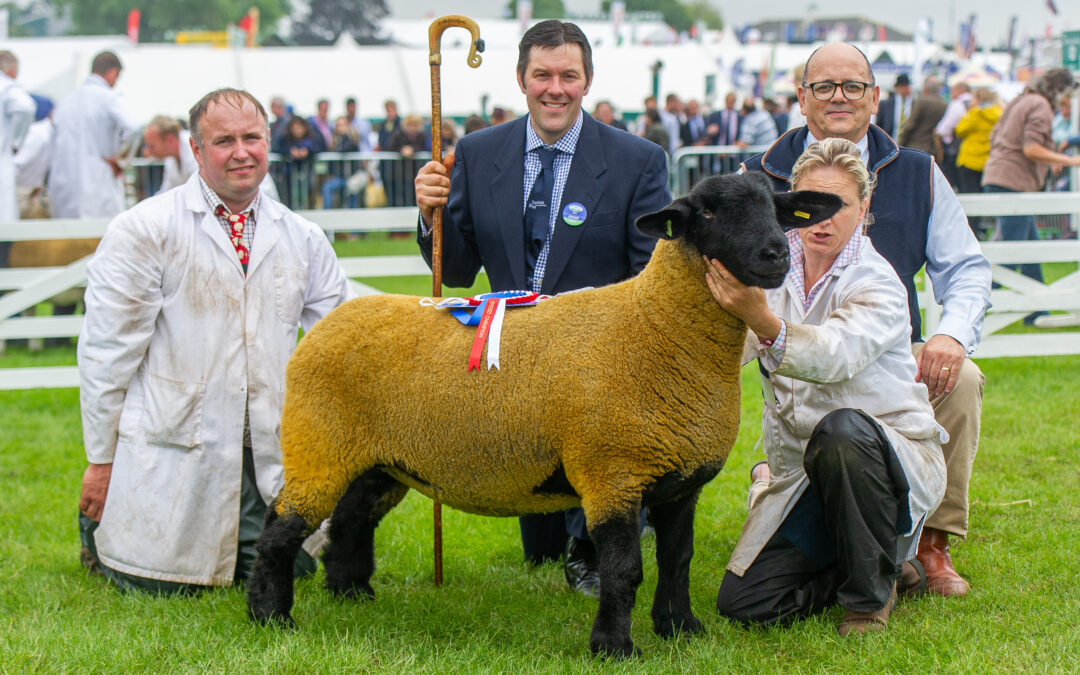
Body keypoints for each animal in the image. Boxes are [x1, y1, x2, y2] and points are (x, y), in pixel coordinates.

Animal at [248, 170, 838, 656]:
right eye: (709, 213)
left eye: (776, 207)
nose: (775, 256)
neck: (656, 328)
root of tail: (328, 321)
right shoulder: (612, 474)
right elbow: (624, 570)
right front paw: (614, 648)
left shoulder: (680, 483)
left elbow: (678, 559)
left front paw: (681, 630)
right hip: (317, 442)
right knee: (281, 524)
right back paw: (270, 617)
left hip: (378, 460)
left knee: (352, 517)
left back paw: (351, 592)